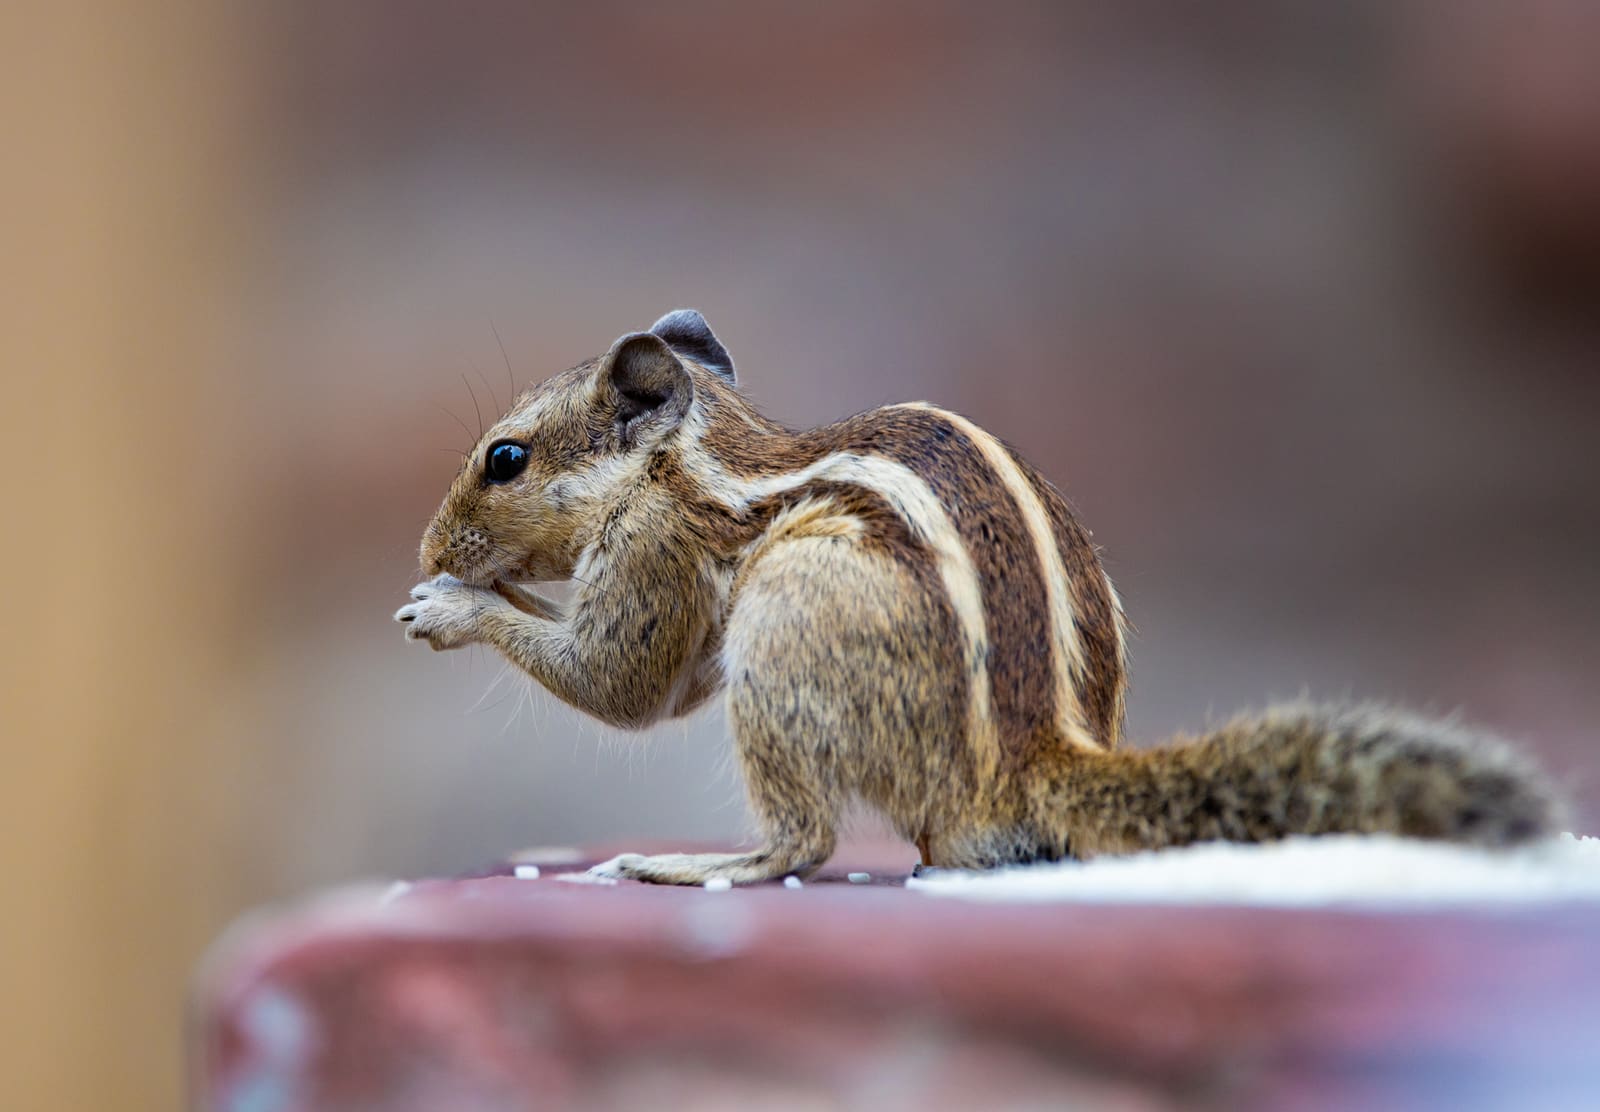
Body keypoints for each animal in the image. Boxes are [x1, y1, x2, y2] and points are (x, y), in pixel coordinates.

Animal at [396, 310, 1560, 885]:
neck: (700, 453)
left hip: (790, 620)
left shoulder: (654, 551)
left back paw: (702, 867)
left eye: (505, 458)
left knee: (802, 844)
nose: (427, 543)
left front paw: (448, 604)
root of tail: (1036, 763)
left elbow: (622, 686)